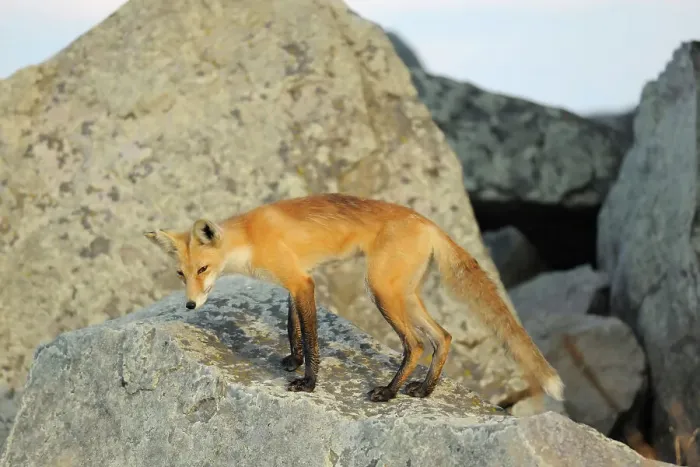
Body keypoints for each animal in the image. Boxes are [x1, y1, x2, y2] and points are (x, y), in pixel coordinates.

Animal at [144, 193, 564, 403]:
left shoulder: (302, 281)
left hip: (380, 291)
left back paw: (389, 392)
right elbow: (293, 327)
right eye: (182, 275)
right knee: (443, 336)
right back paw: (425, 390)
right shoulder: (296, 281)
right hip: (404, 294)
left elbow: (312, 337)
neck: (248, 239)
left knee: (415, 344)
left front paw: (308, 382)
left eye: (203, 270)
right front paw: (294, 361)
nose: (190, 305)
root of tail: (428, 223)